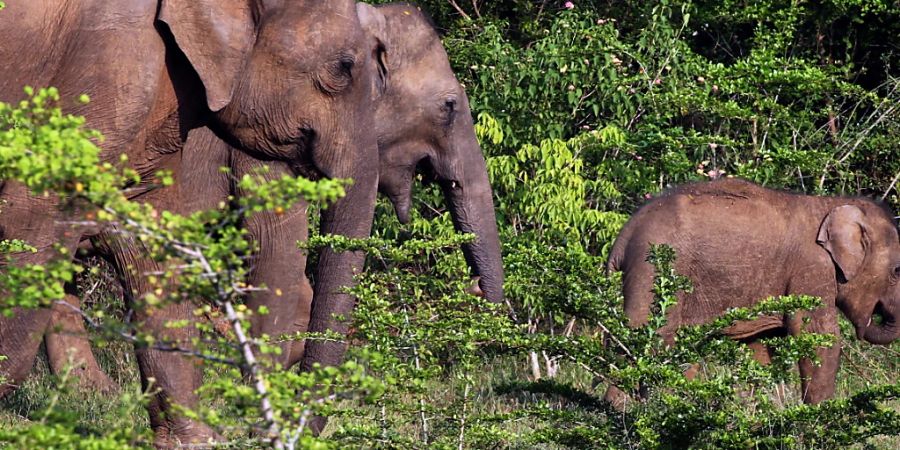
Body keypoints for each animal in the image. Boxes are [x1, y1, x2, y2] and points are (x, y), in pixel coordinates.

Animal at [0, 0, 382, 444]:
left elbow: (151, 249)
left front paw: (192, 439)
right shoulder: (106, 69)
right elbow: (32, 213)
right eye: (343, 67)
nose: (275, 432)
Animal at [604, 178, 900, 406]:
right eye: (897, 271)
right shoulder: (812, 268)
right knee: (651, 336)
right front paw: (820, 415)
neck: (832, 204)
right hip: (655, 268)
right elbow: (817, 336)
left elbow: (759, 347)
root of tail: (624, 236)